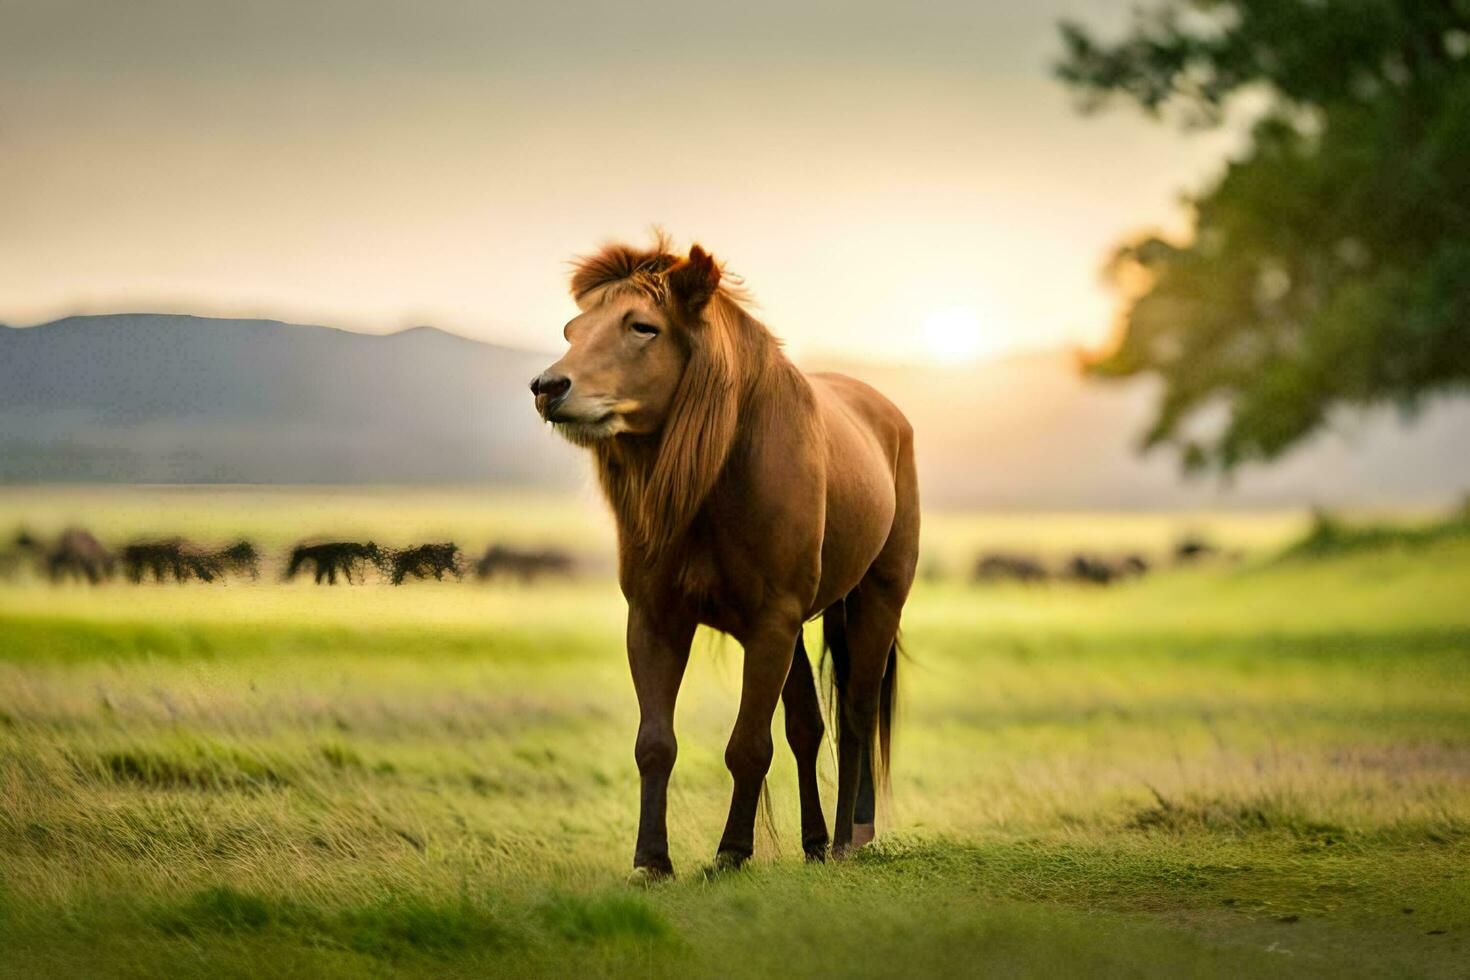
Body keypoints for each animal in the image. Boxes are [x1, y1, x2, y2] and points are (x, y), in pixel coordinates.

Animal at [529, 233, 917, 875]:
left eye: (642, 326)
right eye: (572, 330)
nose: (548, 387)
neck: (722, 473)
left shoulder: (772, 621)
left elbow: (749, 746)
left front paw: (732, 851)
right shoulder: (658, 619)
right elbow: (655, 744)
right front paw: (652, 860)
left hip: (876, 601)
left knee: (856, 717)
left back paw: (845, 839)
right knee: (808, 726)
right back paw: (816, 842)